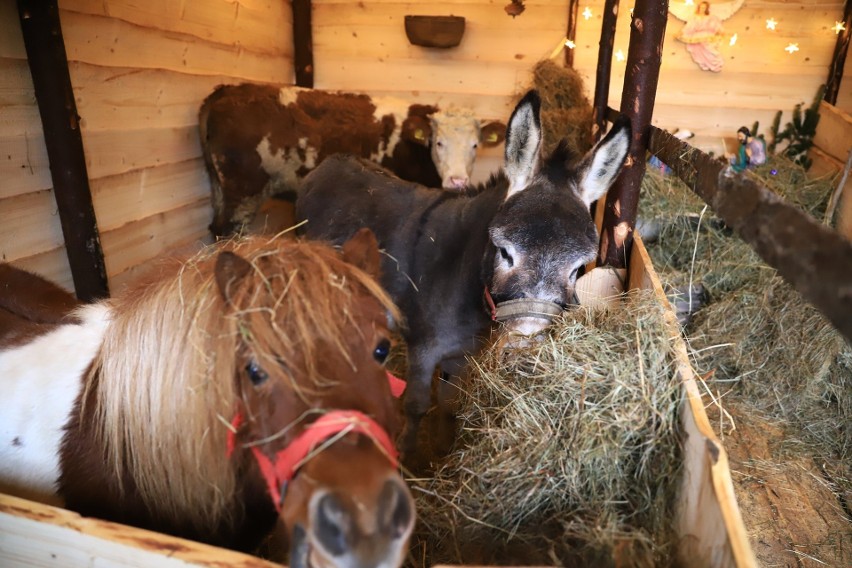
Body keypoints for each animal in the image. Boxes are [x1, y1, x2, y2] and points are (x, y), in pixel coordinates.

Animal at [296, 90, 628, 462]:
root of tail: (332, 161)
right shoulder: (423, 348)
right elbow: (416, 405)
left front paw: (443, 451)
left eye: (576, 268)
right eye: (504, 251)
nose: (524, 353)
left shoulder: (463, 353)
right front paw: (408, 458)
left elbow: (449, 403)